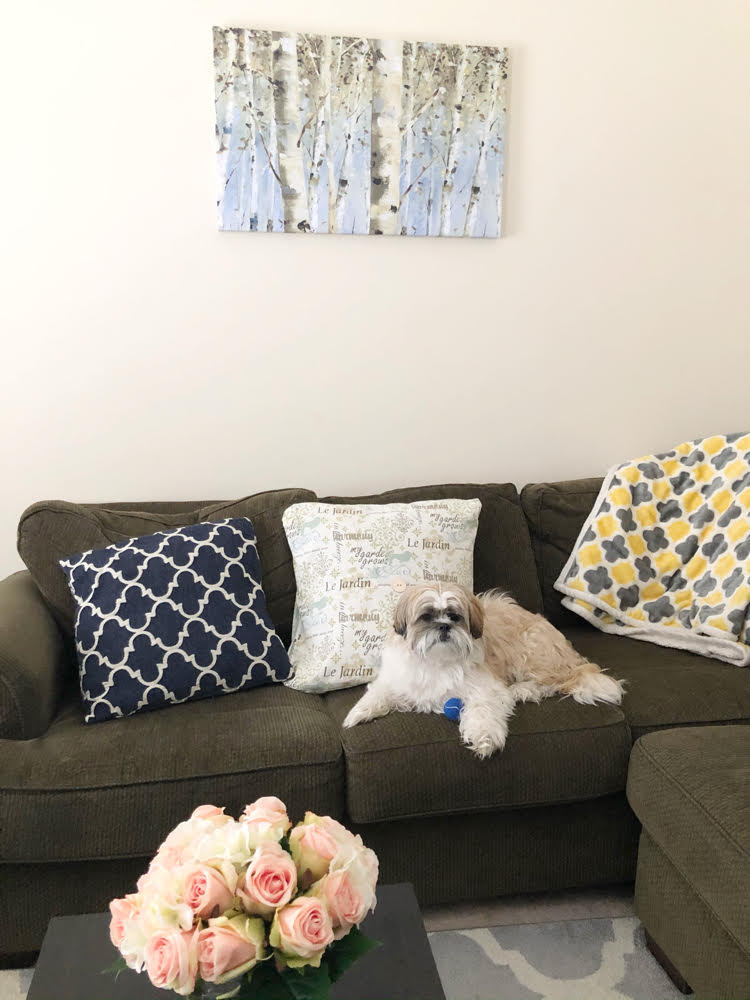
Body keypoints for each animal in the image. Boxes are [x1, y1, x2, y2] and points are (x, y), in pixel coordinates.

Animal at [344, 580, 624, 756]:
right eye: (427, 617)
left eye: (455, 616)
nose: (444, 626)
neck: (437, 660)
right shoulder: (398, 679)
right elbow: (379, 693)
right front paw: (358, 713)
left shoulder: (486, 689)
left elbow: (483, 712)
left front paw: (484, 739)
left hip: (531, 650)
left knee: (552, 682)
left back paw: (522, 690)